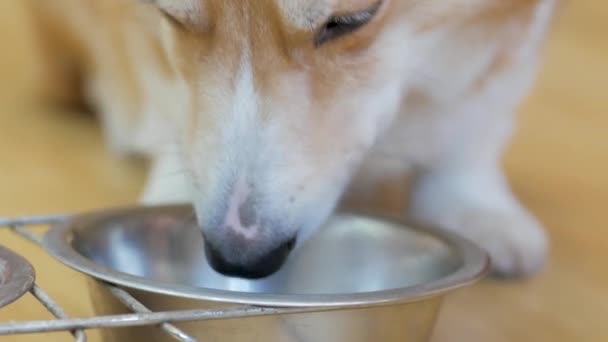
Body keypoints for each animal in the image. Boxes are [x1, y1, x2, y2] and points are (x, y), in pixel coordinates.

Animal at [25, 0, 556, 278]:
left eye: (350, 19)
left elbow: (473, 115)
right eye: (169, 14)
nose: (238, 260)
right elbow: (167, 91)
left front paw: (475, 204)